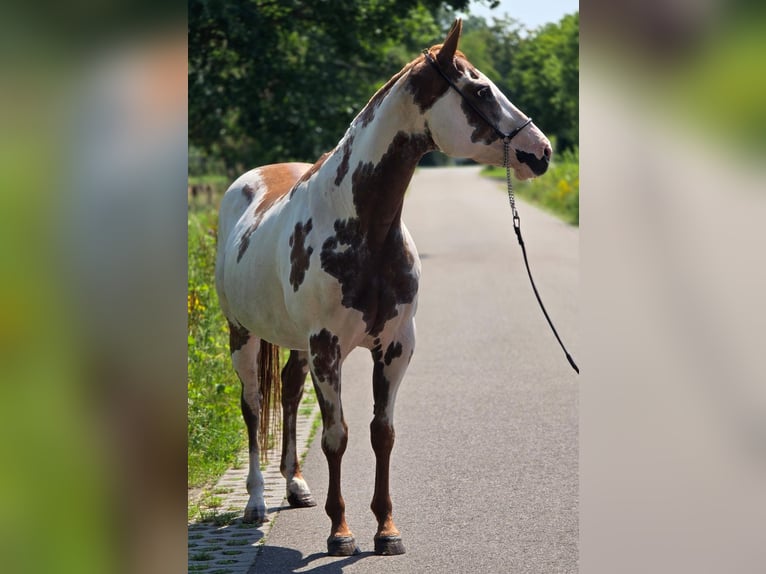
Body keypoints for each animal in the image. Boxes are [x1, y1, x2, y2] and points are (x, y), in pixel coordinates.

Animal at [214, 19, 551, 556]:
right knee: (252, 407)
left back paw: (295, 486)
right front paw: (340, 532)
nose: (541, 152)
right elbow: (336, 436)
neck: (362, 227)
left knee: (287, 391)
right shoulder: (328, 347)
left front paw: (387, 528)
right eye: (480, 90)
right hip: (242, 334)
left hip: (297, 344)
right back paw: (256, 502)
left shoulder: (394, 345)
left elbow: (382, 434)